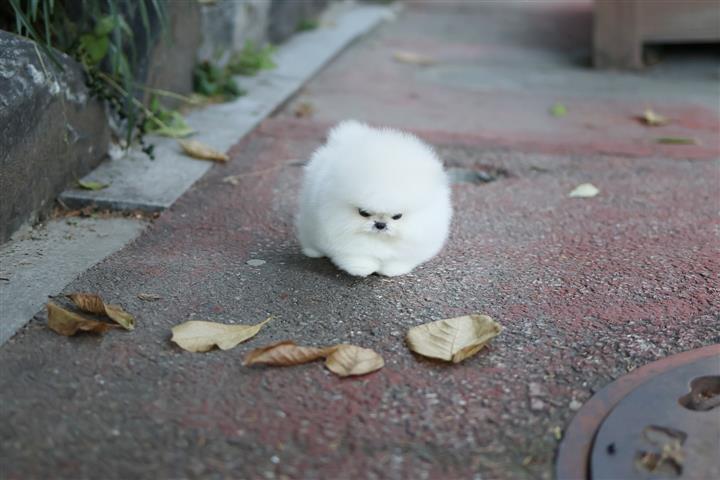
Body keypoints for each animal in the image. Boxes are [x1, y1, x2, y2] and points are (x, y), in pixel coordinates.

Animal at [296, 121, 452, 278]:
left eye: (397, 216)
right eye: (363, 213)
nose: (380, 224)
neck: (380, 240)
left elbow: (397, 260)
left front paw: (391, 270)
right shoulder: (342, 236)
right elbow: (357, 256)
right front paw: (362, 268)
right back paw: (313, 252)